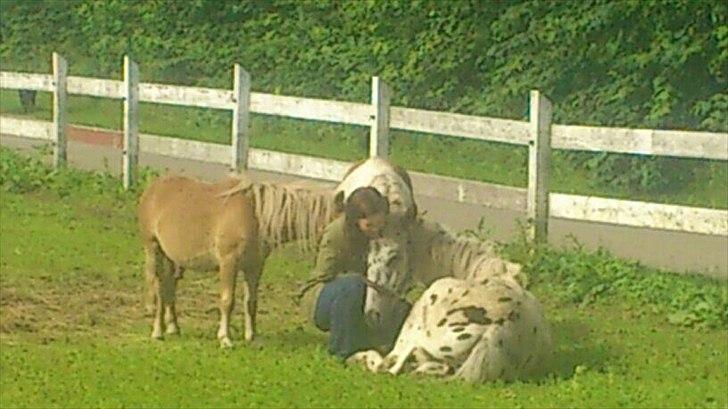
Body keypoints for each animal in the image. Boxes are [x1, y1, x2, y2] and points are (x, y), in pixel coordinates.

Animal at [139, 174, 344, 346]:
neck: (256, 215)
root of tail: (153, 188)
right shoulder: (229, 263)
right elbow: (227, 301)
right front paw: (225, 339)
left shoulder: (254, 267)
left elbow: (250, 302)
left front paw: (251, 336)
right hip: (154, 249)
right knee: (158, 288)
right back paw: (157, 332)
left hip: (172, 259)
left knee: (169, 288)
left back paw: (173, 328)